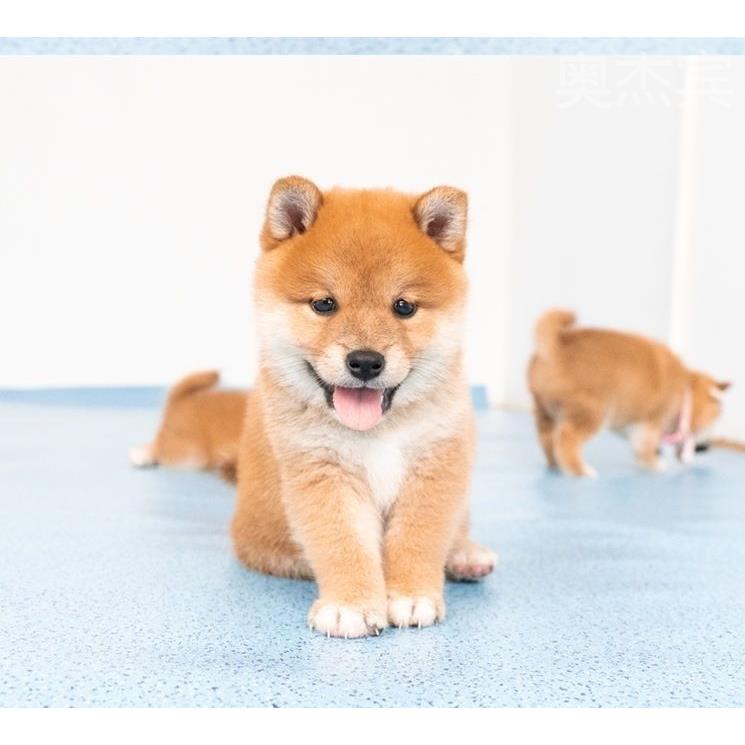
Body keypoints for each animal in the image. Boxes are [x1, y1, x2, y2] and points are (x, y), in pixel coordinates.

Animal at [528, 308, 728, 476]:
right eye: (711, 428)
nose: (707, 447)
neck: (685, 391)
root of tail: (555, 347)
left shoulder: (630, 421)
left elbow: (637, 445)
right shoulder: (652, 421)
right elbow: (646, 447)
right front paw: (655, 464)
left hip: (544, 412)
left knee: (547, 441)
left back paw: (555, 464)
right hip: (592, 414)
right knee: (566, 440)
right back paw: (580, 470)